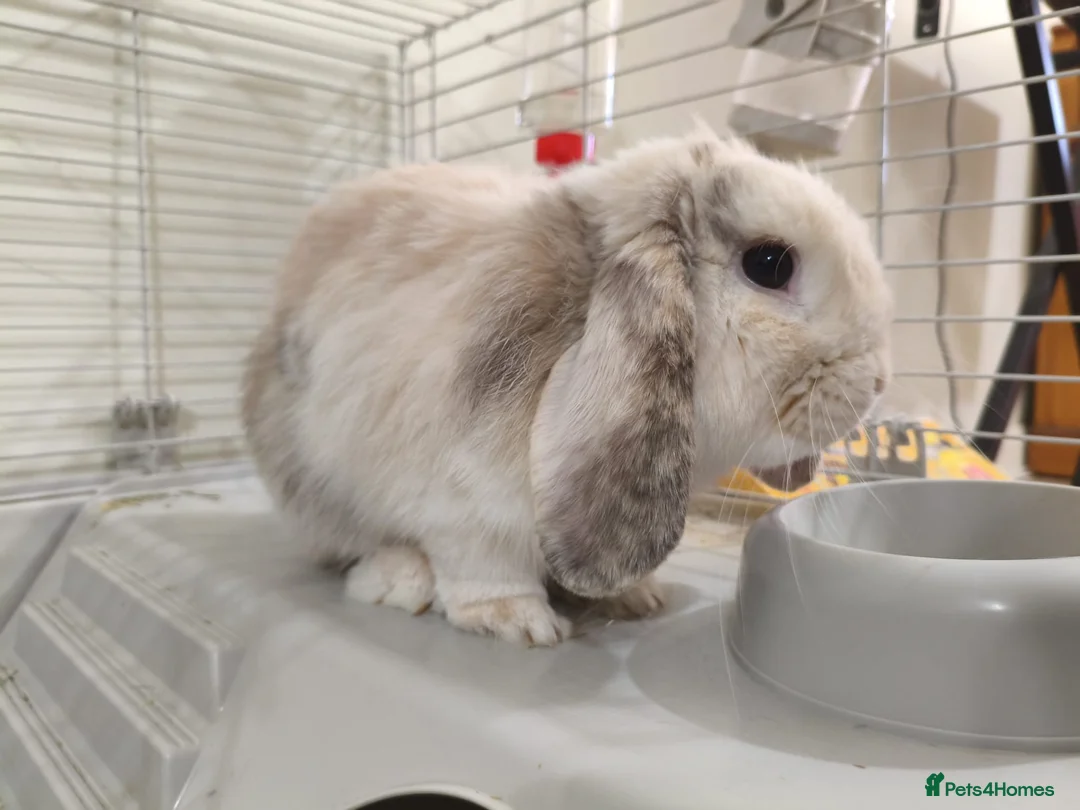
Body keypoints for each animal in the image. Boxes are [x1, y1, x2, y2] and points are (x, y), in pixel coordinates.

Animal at [240, 123, 893, 646]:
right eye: (769, 264)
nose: (881, 379)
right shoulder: (463, 500)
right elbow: (482, 563)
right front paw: (514, 621)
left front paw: (635, 596)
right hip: (313, 481)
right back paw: (401, 579)